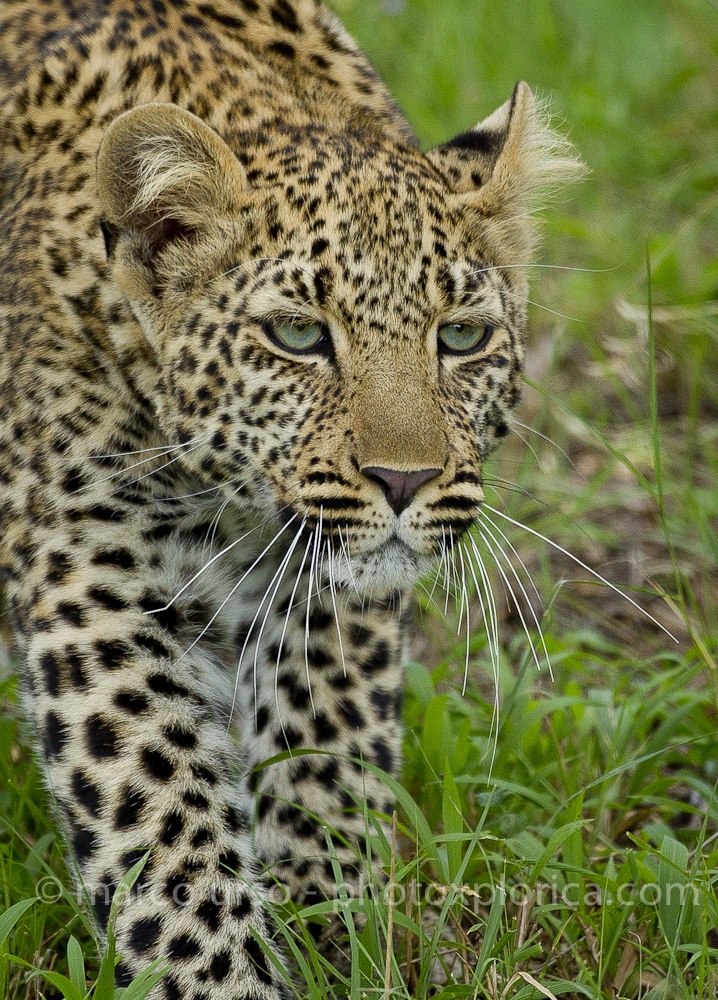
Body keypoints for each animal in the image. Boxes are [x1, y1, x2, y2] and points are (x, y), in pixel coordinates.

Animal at [0, 1, 582, 997]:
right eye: (300, 336)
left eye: (461, 337)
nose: (404, 480)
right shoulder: (93, 575)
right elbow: (163, 823)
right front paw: (221, 977)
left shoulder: (327, 586)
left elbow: (325, 764)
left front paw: (334, 940)